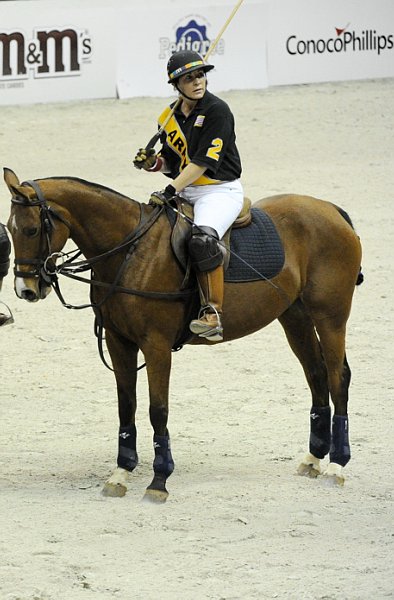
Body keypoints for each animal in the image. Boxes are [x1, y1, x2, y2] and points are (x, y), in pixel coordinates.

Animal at [3, 168, 364, 502]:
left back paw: (337, 465)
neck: (129, 252)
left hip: (330, 316)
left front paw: (159, 481)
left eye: (32, 229)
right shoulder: (118, 341)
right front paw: (120, 473)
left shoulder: (156, 345)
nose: (27, 289)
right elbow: (126, 405)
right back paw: (313, 459)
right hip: (294, 316)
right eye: (9, 228)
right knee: (316, 374)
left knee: (338, 376)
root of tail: (332, 210)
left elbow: (157, 409)